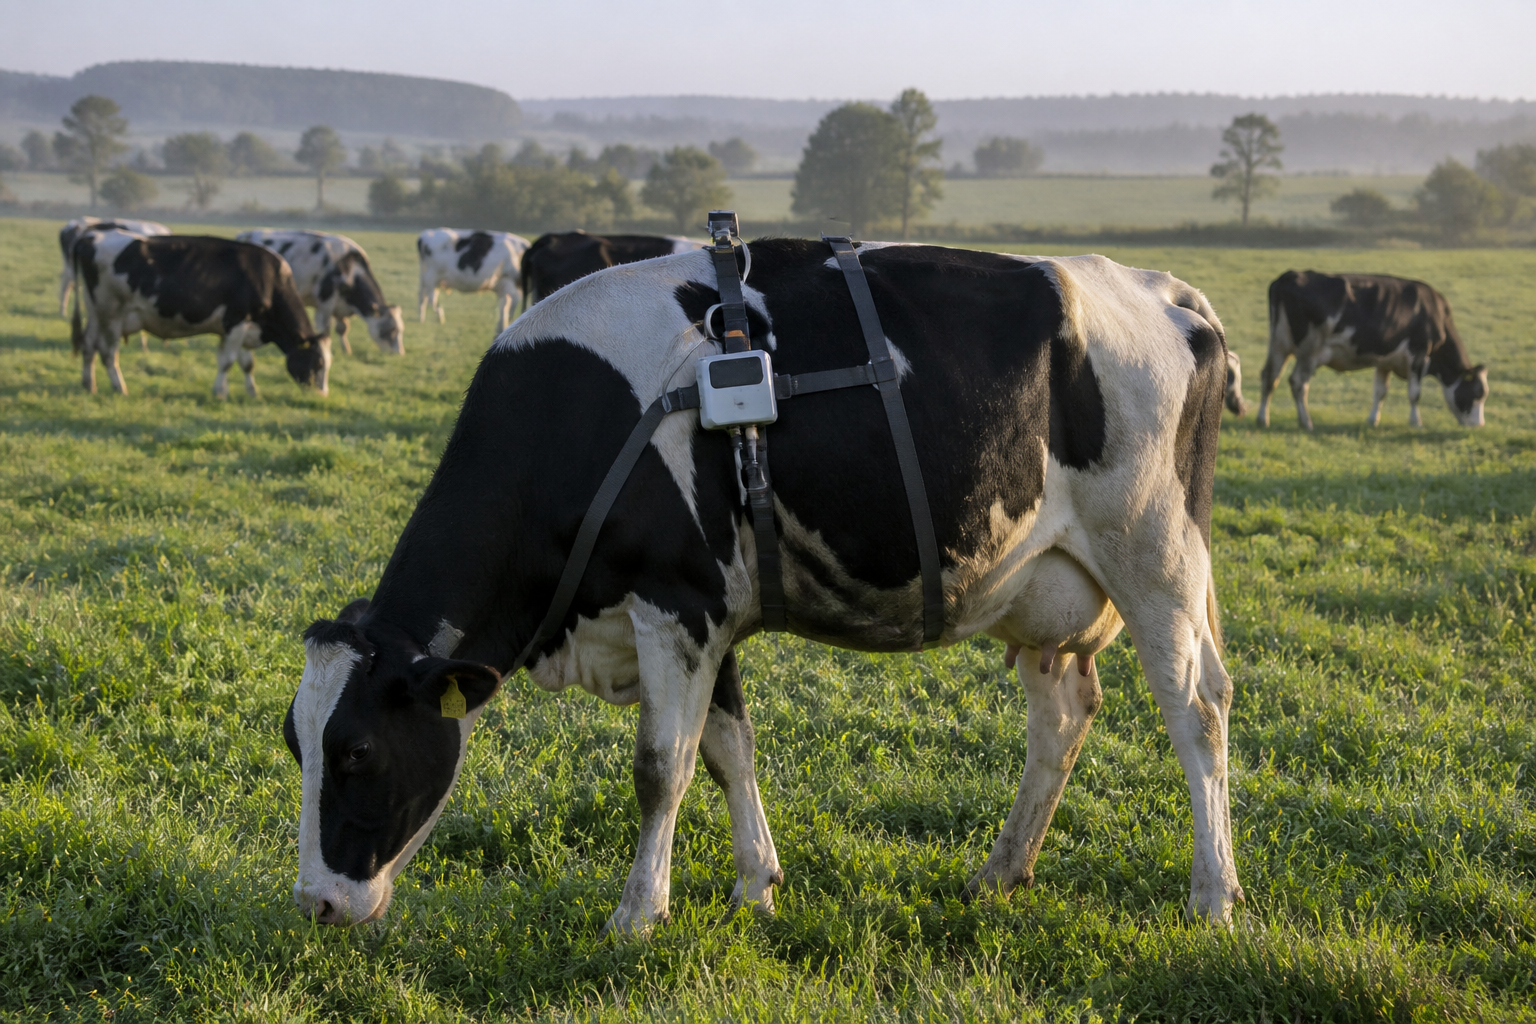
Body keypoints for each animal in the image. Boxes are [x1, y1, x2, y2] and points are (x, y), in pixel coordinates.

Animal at [71, 231, 330, 398]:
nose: (322, 394)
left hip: (95, 312)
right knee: (108, 352)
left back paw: (88, 385)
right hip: (112, 313)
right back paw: (119, 388)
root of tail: (90, 237)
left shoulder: (245, 326)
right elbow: (227, 361)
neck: (269, 279)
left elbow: (247, 364)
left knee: (89, 345)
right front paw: (220, 393)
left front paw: (252, 393)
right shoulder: (237, 320)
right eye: (318, 362)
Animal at [236, 229, 405, 357]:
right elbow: (326, 328)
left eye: (401, 329)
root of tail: (244, 235)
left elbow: (342, 328)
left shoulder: (340, 305)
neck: (348, 267)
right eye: (392, 329)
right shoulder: (325, 301)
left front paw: (346, 351)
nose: (399, 354)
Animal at [286, 241, 1242, 937]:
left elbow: (660, 767)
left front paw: (638, 914)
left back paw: (1215, 896)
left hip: (1156, 558)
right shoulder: (712, 610)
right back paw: (1001, 872)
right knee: (1062, 719)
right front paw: (757, 887)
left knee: (1197, 711)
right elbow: (726, 751)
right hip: (1046, 589)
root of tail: (1156, 287)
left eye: (356, 752)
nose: (317, 905)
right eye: (298, 746)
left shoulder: (676, 600)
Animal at [1259, 270, 1489, 429]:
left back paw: (1263, 419)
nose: (1479, 425)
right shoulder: (1419, 354)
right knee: (1298, 382)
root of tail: (1291, 275)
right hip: (1309, 351)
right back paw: (1306, 422)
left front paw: (1372, 420)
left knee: (1270, 377)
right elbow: (1415, 394)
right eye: (1476, 393)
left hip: (1278, 345)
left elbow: (1380, 391)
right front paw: (1416, 422)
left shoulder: (1385, 360)